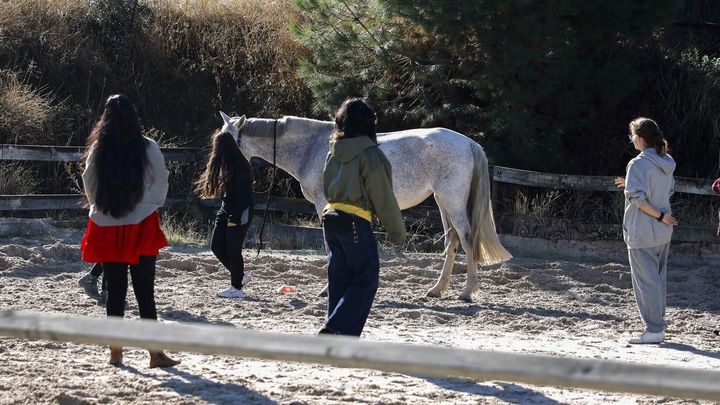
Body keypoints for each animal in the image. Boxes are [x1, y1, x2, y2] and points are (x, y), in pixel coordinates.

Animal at [219, 113, 513, 301]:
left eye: (228, 142)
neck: (311, 147)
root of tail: (470, 143)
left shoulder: (325, 205)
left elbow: (329, 246)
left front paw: (328, 290)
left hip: (452, 200)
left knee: (467, 239)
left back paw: (467, 292)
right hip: (442, 202)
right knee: (451, 241)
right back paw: (437, 289)